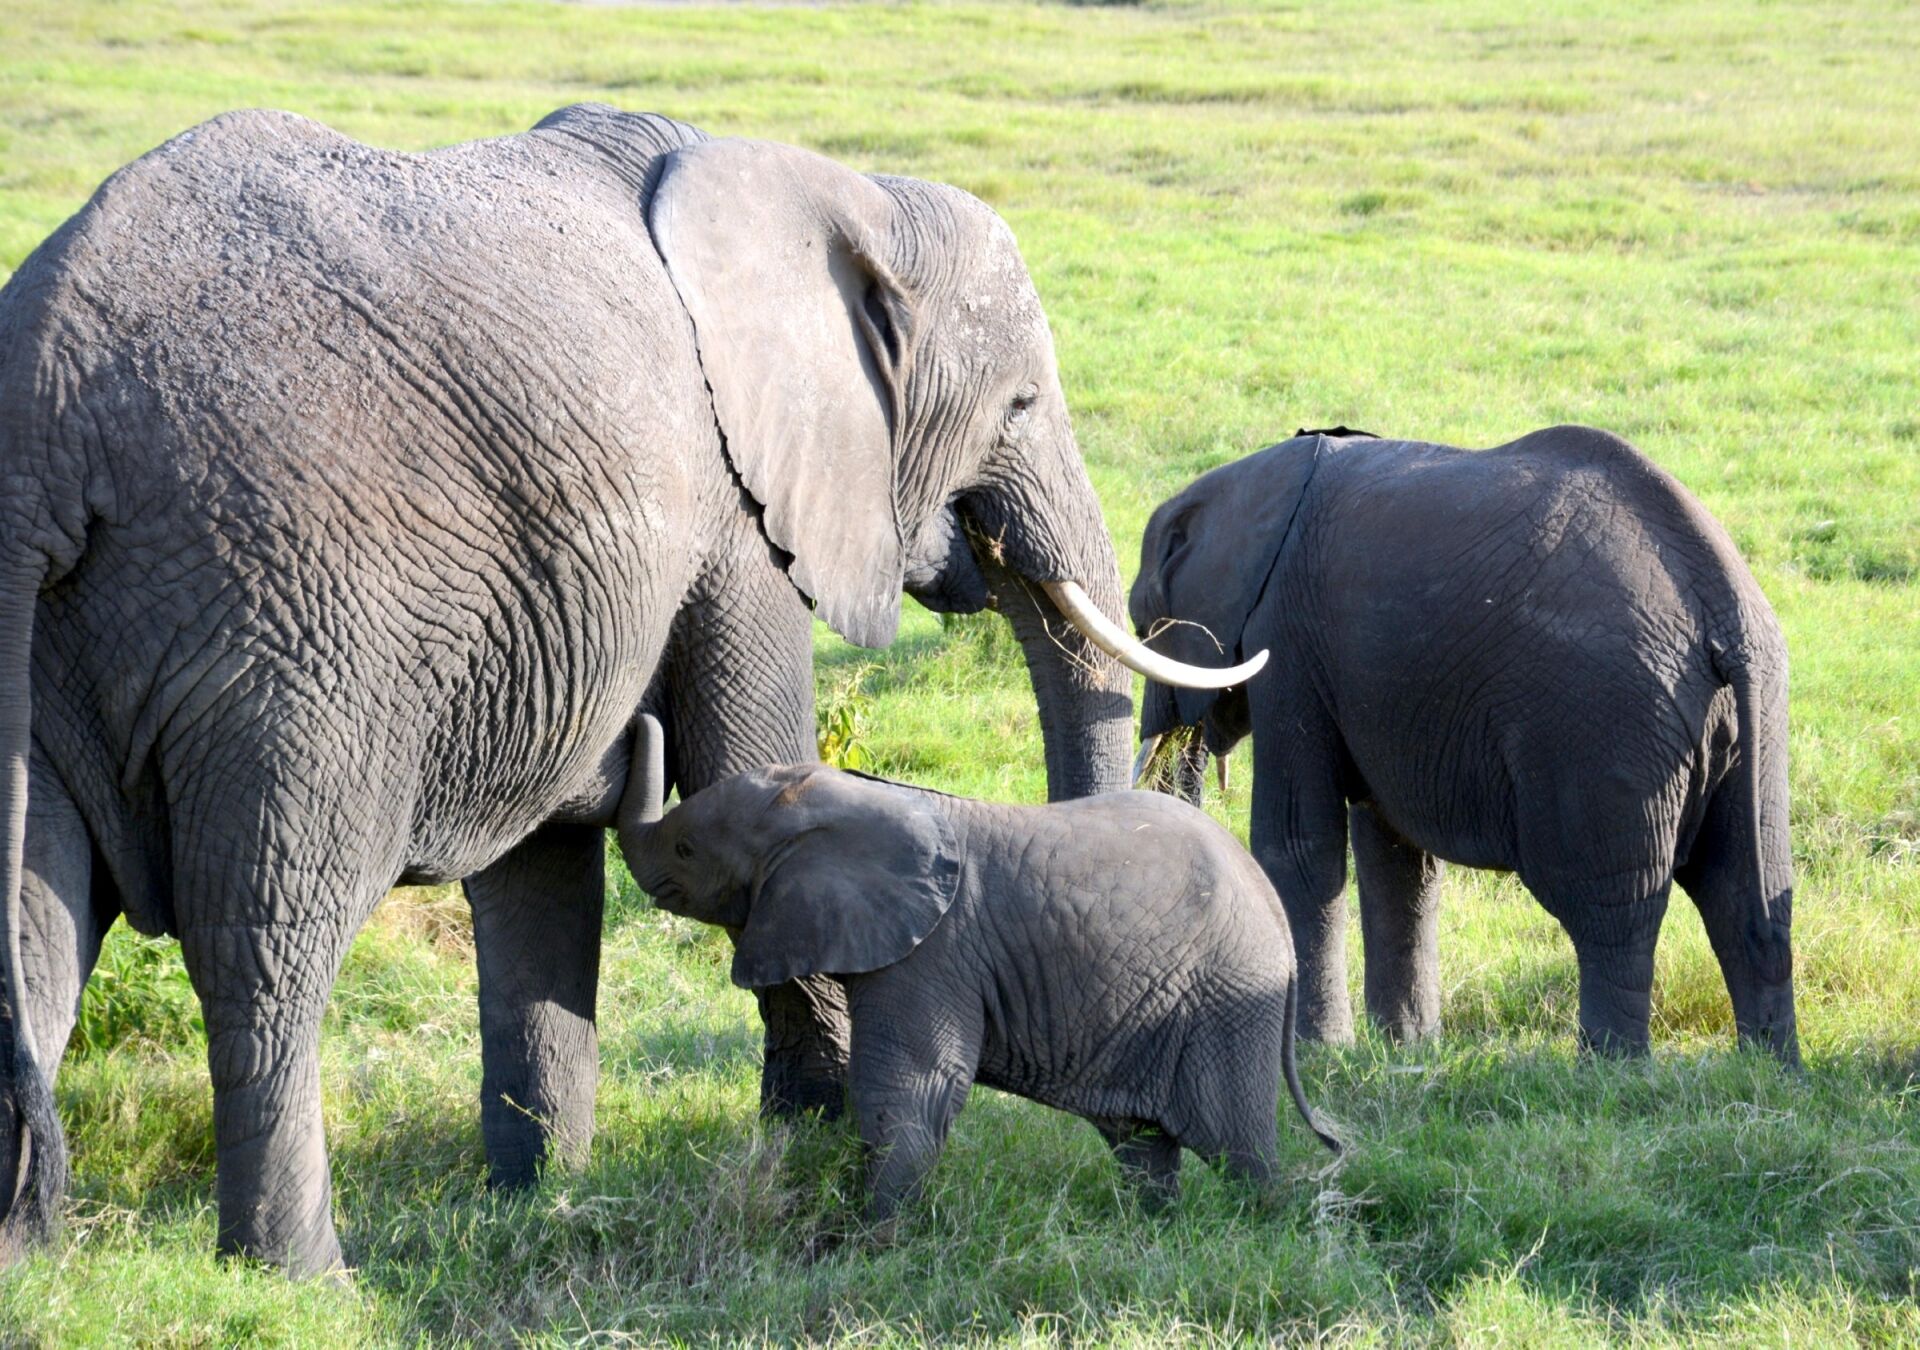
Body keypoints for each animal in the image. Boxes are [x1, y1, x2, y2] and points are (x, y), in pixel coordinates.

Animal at [0, 104, 1254, 1273]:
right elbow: (751, 760)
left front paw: (536, 1199)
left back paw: (36, 1264)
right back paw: (307, 1284)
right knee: (265, 945)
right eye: (1023, 407)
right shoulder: (734, 517)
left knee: (35, 935)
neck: (840, 190)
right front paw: (809, 1157)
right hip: (292, 625)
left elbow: (539, 879)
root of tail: (43, 410)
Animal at [614, 715, 1341, 1221]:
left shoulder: (933, 953)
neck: (855, 799)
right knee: (1141, 1144)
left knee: (1236, 1146)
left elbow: (914, 1087)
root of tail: (1272, 905)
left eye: (686, 849)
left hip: (1228, 997)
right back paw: (1155, 1228)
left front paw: (865, 1239)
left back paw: (1261, 1223)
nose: (635, 717)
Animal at [1128, 425, 1799, 1064]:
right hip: (1752, 718)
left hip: (1605, 724)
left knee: (1611, 909)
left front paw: (1320, 1051)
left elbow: (1298, 845)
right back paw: (1769, 1071)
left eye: (1140, 624)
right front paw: (1403, 1047)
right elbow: (1398, 857)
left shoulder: (1287, 640)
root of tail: (1721, 603)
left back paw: (1611, 1071)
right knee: (1746, 897)